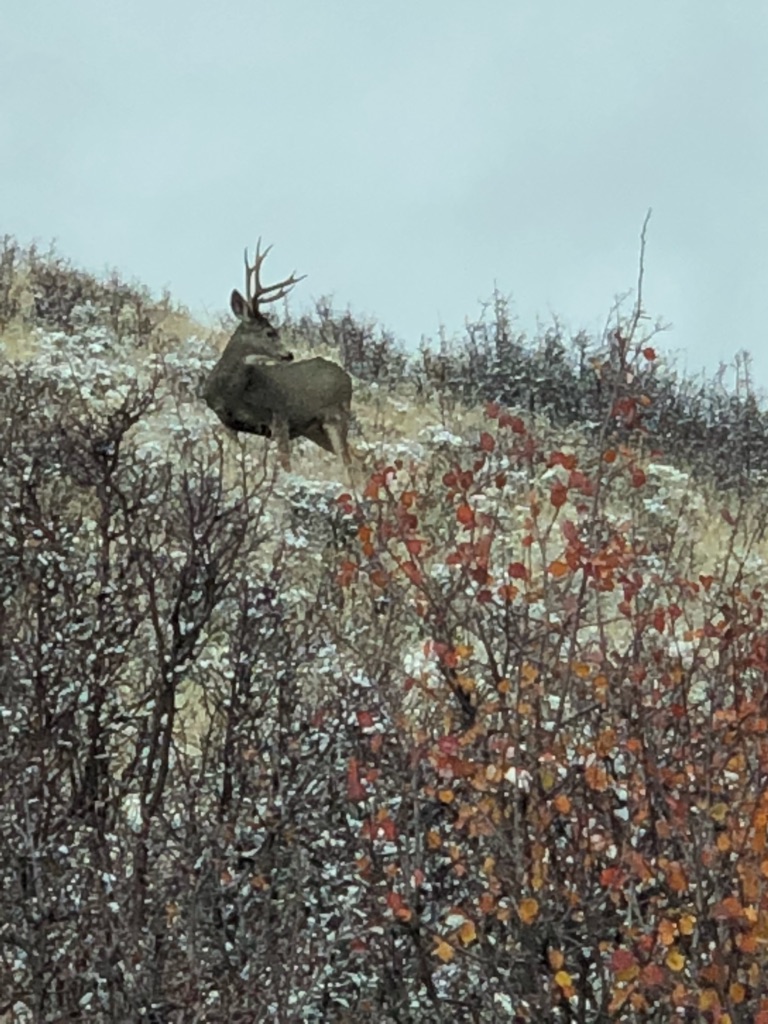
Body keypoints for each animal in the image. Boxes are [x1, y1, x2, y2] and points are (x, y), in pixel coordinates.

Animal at [203, 240, 353, 477]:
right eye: (269, 332)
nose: (289, 354)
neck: (233, 393)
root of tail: (347, 377)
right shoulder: (228, 423)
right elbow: (231, 466)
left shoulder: (281, 418)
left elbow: (286, 467)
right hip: (315, 430)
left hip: (337, 418)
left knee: (349, 464)